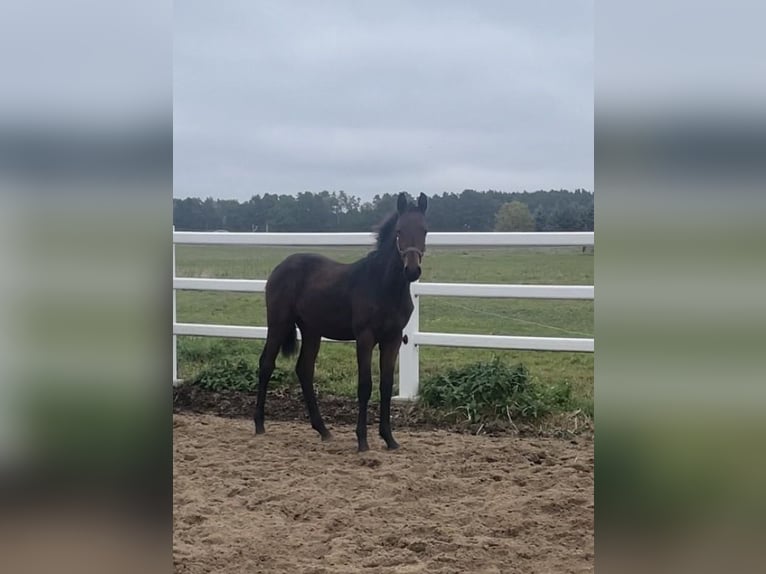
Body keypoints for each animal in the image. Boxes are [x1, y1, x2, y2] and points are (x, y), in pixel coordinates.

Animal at [254, 191, 428, 452]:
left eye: (425, 230)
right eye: (399, 231)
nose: (412, 270)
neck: (384, 286)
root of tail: (280, 267)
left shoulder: (393, 338)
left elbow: (386, 385)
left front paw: (389, 439)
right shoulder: (365, 337)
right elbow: (365, 385)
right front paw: (362, 441)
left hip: (311, 330)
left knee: (304, 369)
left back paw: (323, 430)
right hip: (278, 324)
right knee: (266, 364)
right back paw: (259, 425)